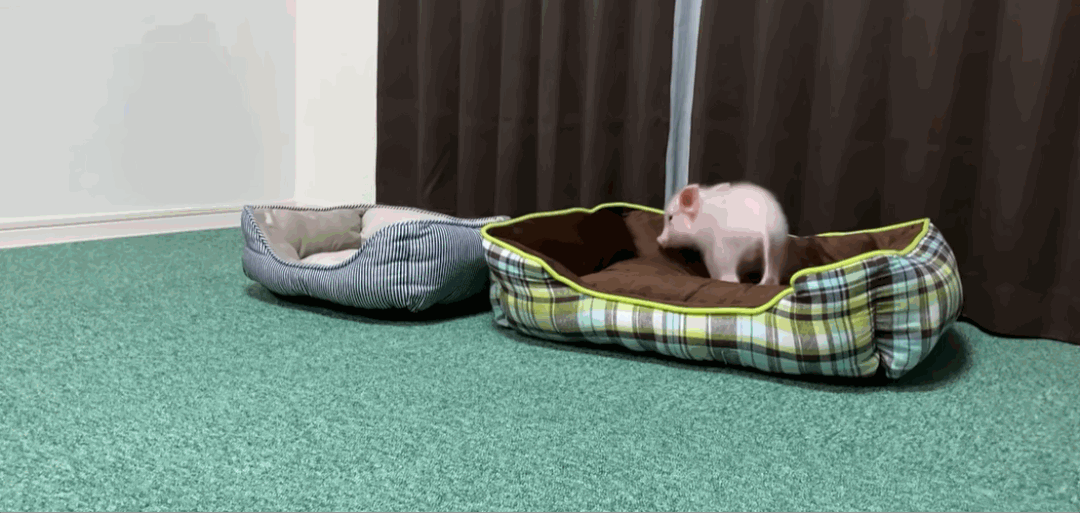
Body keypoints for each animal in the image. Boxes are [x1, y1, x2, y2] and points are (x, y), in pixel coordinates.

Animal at [656, 182, 789, 285]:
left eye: (670, 218)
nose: (659, 239)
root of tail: (764, 226)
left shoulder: (710, 253)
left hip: (725, 253)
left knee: (732, 279)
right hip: (777, 253)